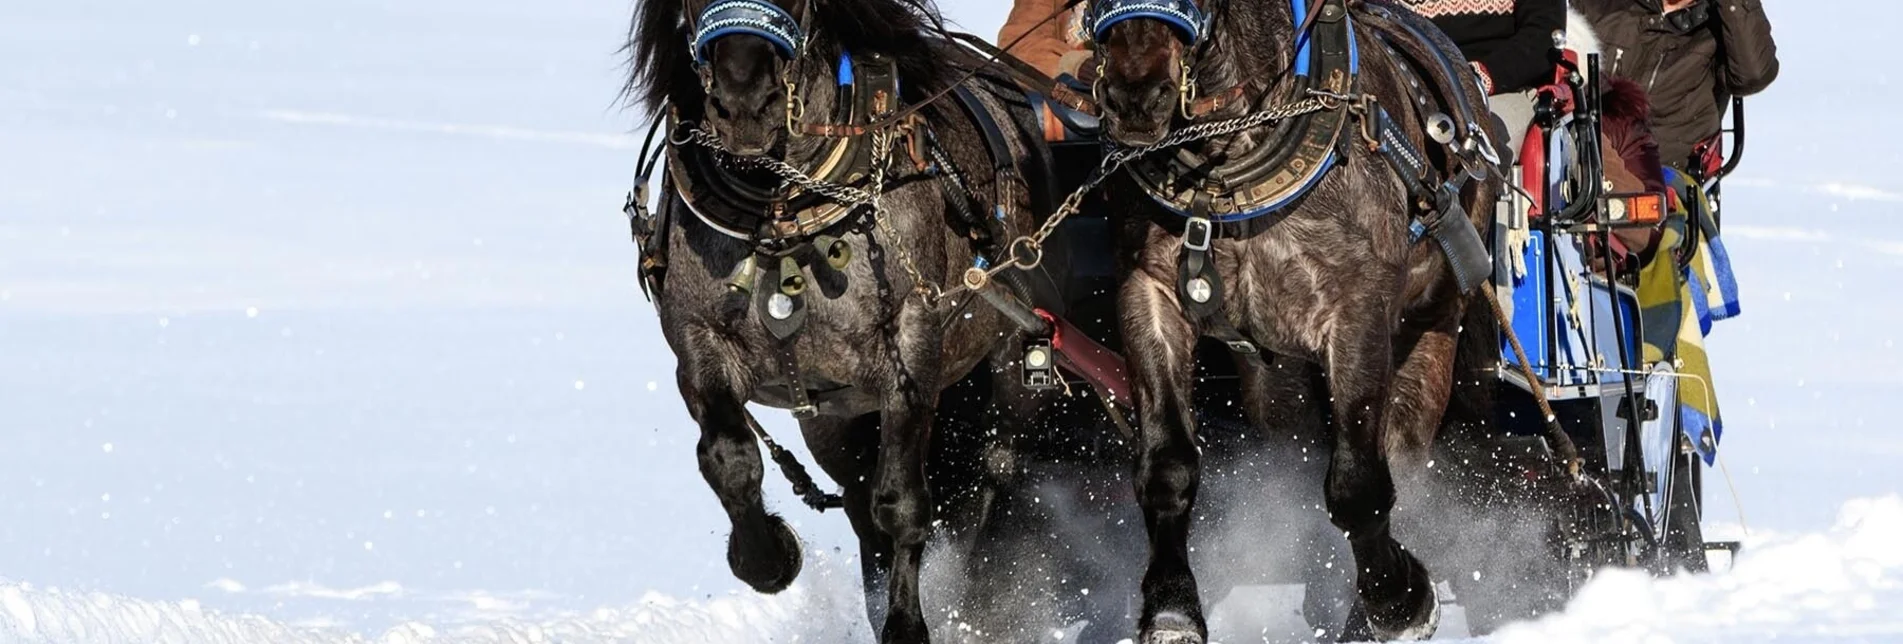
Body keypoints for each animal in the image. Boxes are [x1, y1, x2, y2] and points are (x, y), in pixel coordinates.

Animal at [616, 0, 1080, 640]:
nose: (744, 103)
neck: (782, 213)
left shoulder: (911, 348)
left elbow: (903, 502)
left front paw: (909, 624)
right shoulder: (699, 345)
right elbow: (731, 462)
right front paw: (769, 558)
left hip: (1017, 361)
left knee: (996, 470)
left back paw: (981, 594)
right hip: (837, 418)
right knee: (863, 505)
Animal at [1096, 0, 1507, 640]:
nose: (1136, 96)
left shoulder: (1357, 309)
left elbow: (1359, 485)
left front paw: (1398, 600)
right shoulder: (1148, 292)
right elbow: (1167, 466)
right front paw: (1171, 607)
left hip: (1434, 328)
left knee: (1404, 450)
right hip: (1276, 379)